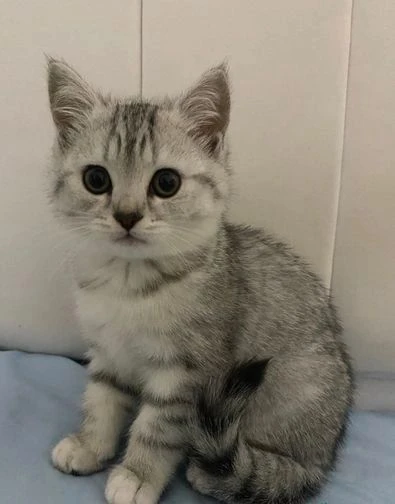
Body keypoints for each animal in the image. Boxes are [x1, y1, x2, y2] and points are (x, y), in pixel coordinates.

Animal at [48, 60, 354, 504]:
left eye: (166, 183)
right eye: (96, 180)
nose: (127, 215)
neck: (128, 283)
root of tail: (325, 456)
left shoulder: (186, 372)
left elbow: (156, 427)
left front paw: (137, 475)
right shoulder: (107, 352)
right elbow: (102, 400)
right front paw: (91, 446)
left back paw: (215, 474)